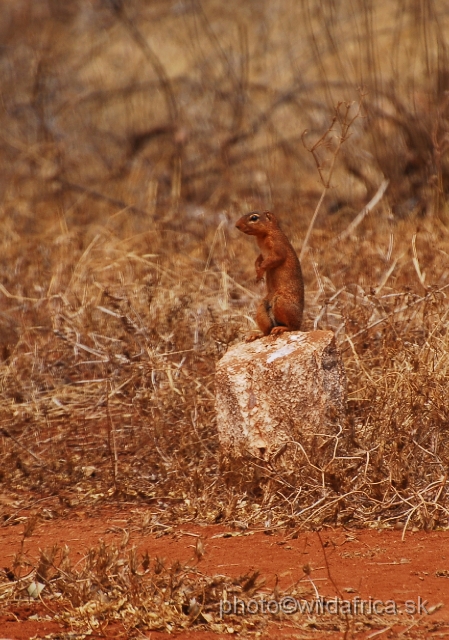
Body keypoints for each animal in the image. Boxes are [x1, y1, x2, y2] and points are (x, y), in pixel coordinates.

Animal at [234, 209, 304, 340]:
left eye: (254, 218)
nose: (236, 225)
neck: (263, 236)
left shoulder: (277, 248)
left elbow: (271, 260)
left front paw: (260, 271)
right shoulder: (262, 254)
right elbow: (258, 260)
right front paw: (258, 274)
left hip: (281, 303)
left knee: (292, 327)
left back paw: (280, 328)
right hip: (262, 311)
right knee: (266, 331)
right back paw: (255, 335)